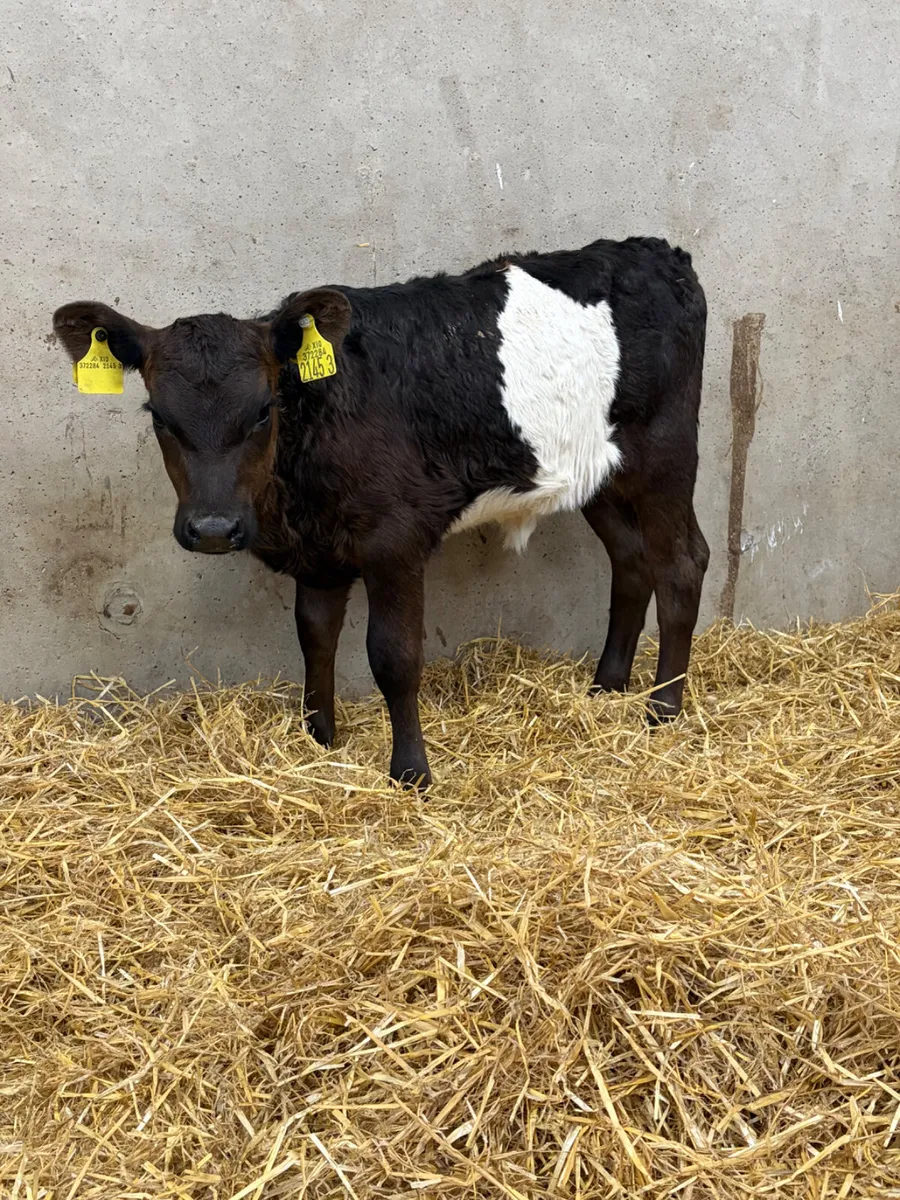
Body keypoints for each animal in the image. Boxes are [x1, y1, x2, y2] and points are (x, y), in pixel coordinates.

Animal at [53, 236, 709, 788]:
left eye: (264, 409)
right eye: (160, 416)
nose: (213, 529)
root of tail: (659, 252)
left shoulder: (395, 542)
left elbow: (394, 656)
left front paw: (411, 772)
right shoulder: (318, 554)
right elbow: (315, 637)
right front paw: (318, 739)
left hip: (665, 455)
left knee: (682, 564)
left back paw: (663, 708)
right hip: (600, 473)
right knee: (633, 563)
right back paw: (606, 688)